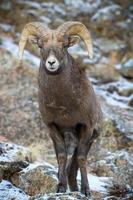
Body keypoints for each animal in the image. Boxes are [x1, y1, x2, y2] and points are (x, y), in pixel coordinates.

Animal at [18, 21, 102, 197]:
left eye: (64, 45)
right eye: (40, 46)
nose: (51, 63)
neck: (64, 106)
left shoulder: (86, 129)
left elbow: (82, 158)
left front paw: (86, 191)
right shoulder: (53, 128)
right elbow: (62, 156)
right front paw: (60, 188)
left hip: (87, 139)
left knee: (75, 164)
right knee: (67, 166)